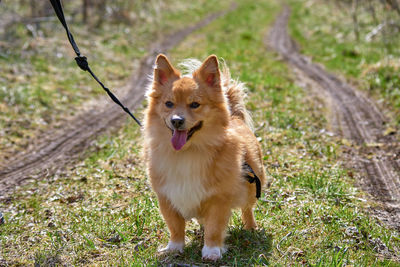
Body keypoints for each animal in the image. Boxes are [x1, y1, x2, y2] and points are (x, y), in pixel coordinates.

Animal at [144, 54, 266, 262]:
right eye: (169, 104)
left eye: (195, 104)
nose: (176, 120)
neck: (188, 152)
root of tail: (235, 116)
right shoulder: (167, 196)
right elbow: (175, 226)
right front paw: (174, 248)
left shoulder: (219, 199)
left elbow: (214, 228)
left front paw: (211, 251)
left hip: (250, 186)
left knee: (247, 208)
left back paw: (250, 228)